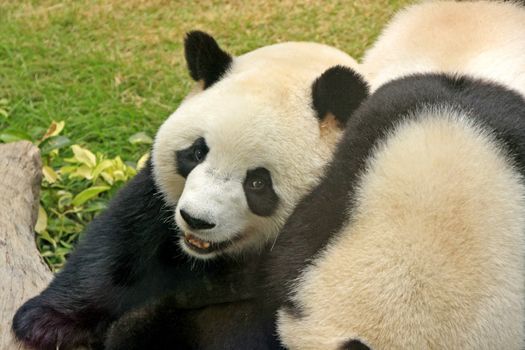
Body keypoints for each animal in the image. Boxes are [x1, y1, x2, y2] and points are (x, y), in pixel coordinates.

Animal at [10, 31, 366, 348]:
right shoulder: (157, 198)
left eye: (258, 182)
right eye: (196, 153)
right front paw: (46, 323)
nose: (197, 220)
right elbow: (122, 240)